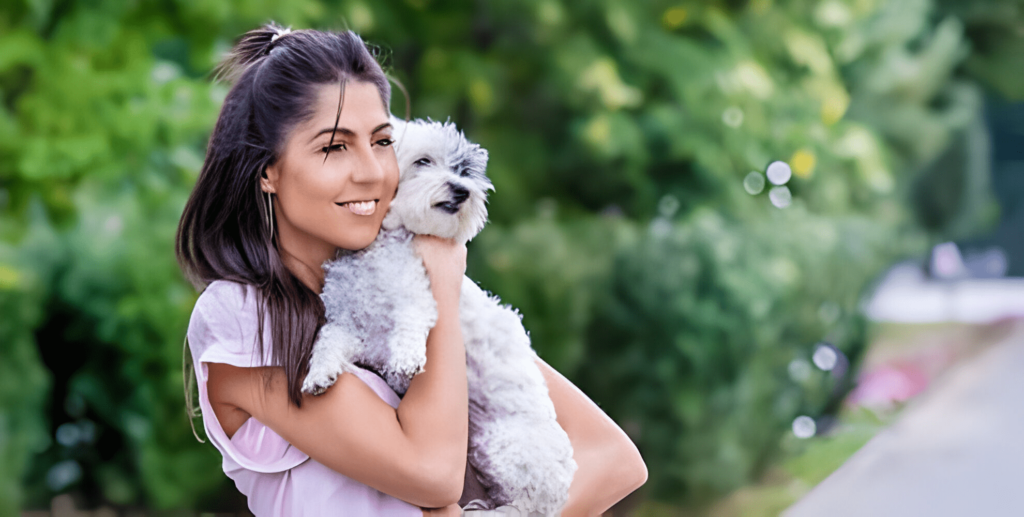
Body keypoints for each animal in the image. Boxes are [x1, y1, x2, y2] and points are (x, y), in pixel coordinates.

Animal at [301, 114, 577, 513]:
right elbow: (328, 340)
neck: (377, 251)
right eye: (423, 162)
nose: (462, 190)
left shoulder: (420, 294)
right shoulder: (353, 327)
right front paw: (319, 374)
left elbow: (413, 316)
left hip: (503, 447)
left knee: (524, 504)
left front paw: (407, 358)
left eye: (464, 170)